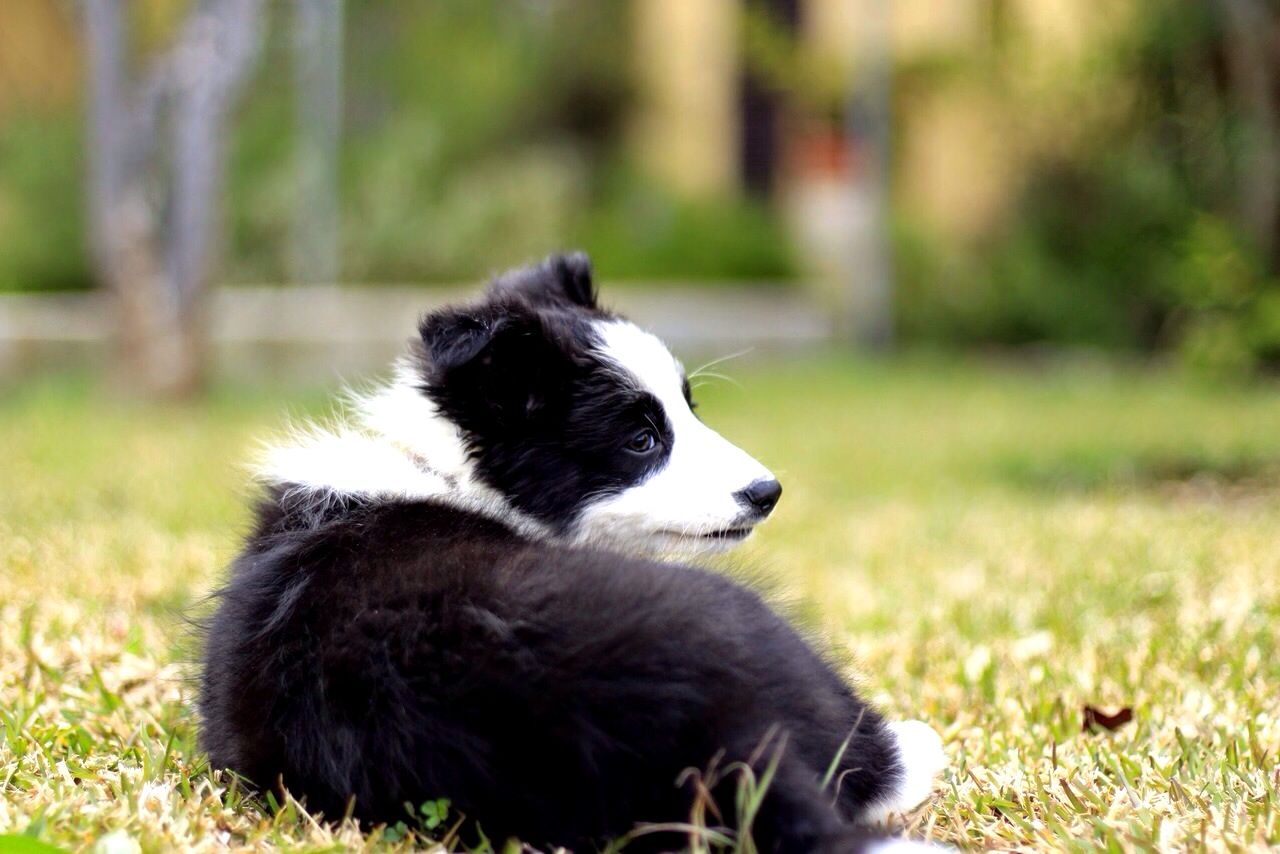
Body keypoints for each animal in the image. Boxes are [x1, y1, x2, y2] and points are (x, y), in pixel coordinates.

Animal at [197, 250, 942, 850]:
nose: (768, 492)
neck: (449, 471)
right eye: (641, 439)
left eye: (688, 406)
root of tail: (708, 733)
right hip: (749, 621)